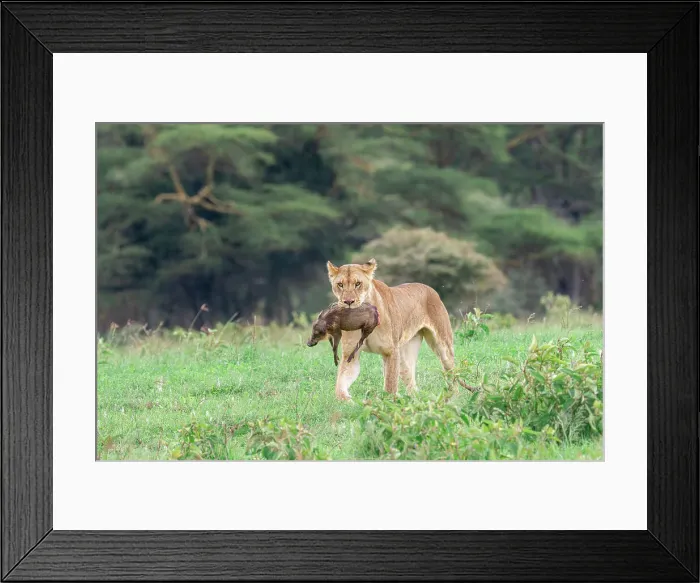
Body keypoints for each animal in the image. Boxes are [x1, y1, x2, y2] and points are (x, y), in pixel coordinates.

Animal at [326, 257, 470, 401]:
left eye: (358, 284)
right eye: (340, 284)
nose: (348, 302)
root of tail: (430, 288)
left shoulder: (391, 352)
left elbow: (390, 386)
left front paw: (386, 404)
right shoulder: (351, 354)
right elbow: (340, 386)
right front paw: (348, 401)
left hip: (443, 347)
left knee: (452, 374)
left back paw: (454, 399)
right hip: (405, 356)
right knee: (412, 384)